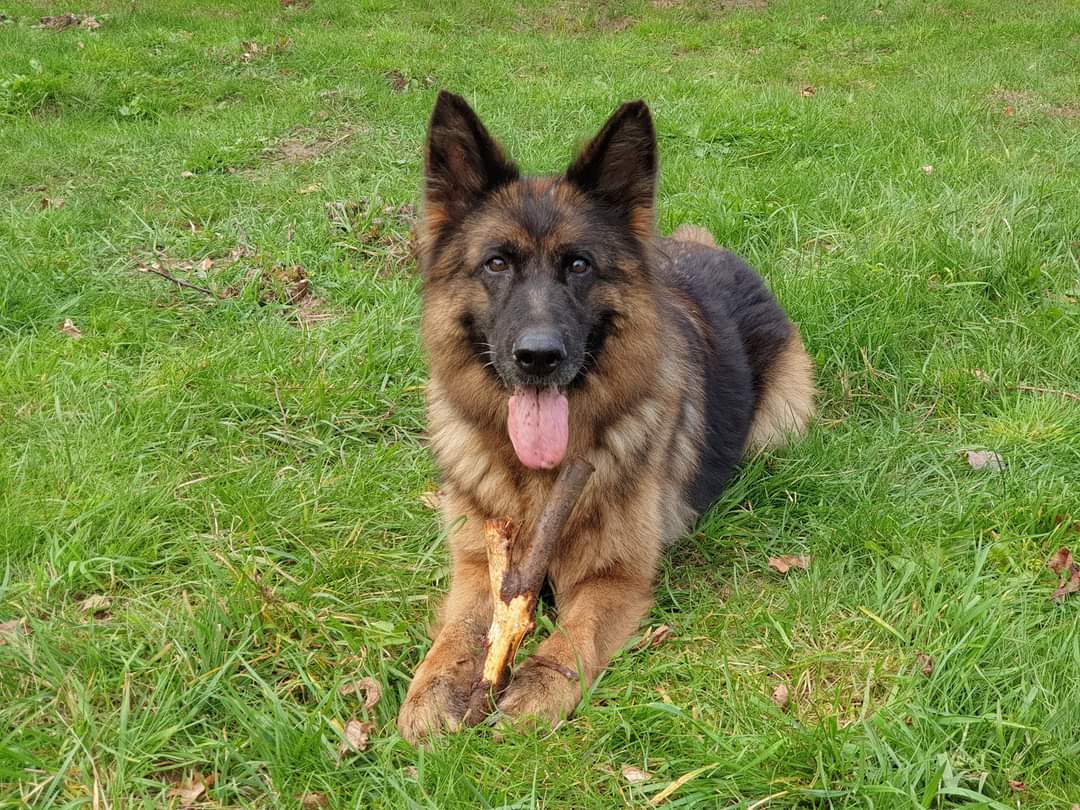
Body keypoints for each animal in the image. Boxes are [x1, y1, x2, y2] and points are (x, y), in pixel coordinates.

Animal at [397, 91, 815, 743]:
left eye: (579, 265)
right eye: (496, 264)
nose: (539, 357)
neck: (536, 481)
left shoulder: (613, 579)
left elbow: (576, 636)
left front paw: (536, 688)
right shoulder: (476, 565)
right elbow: (459, 632)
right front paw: (434, 687)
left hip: (777, 427)